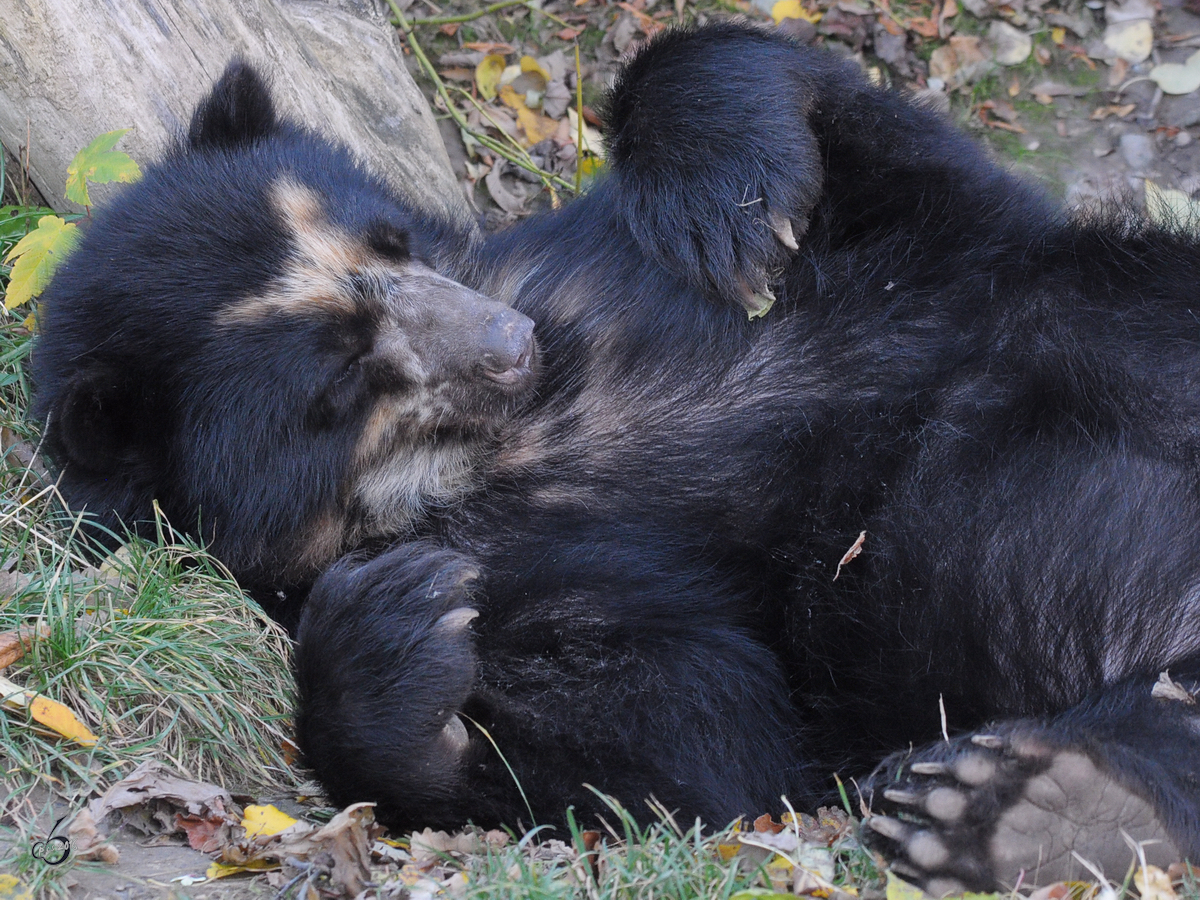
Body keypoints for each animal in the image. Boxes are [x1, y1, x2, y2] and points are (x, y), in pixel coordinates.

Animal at [30, 21, 1200, 897]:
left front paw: (735, 209)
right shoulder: (532, 566)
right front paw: (400, 622)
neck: (523, 431)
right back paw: (1035, 812)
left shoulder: (887, 261)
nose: (506, 344)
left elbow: (904, 166)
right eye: (344, 378)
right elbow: (704, 729)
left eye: (393, 245)